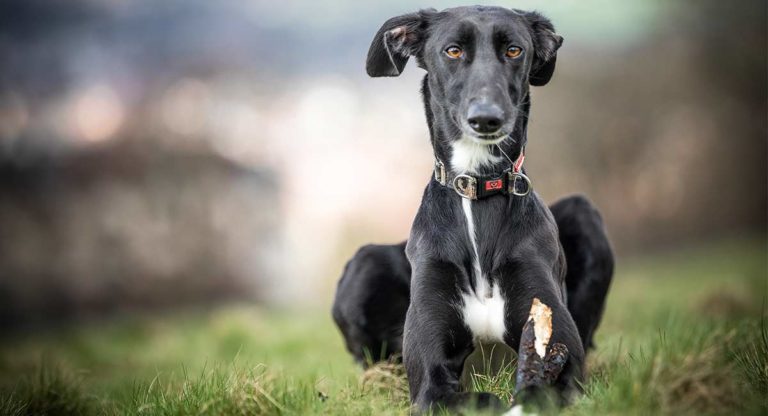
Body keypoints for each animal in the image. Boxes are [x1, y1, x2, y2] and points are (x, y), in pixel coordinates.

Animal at [332, 6, 616, 412]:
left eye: (514, 50)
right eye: (453, 50)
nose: (486, 118)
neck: (477, 188)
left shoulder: (559, 354)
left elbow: (542, 387)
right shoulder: (431, 381)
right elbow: (471, 398)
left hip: (582, 213)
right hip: (364, 266)